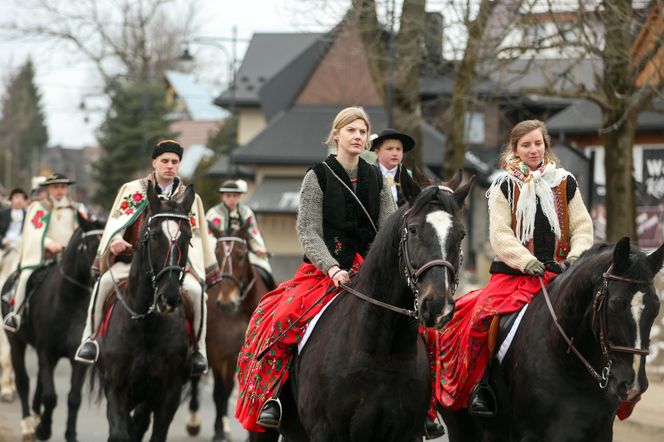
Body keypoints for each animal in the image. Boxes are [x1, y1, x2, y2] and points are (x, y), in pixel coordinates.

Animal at [0, 216, 104, 440]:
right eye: (88, 245)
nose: (101, 274)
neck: (70, 301)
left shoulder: (77, 358)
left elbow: (74, 398)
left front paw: (70, 434)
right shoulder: (46, 352)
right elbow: (50, 396)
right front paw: (44, 429)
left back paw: (36, 416)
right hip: (16, 342)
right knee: (23, 381)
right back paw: (28, 424)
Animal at [96, 181, 195, 440]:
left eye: (188, 236)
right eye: (154, 235)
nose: (168, 297)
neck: (146, 326)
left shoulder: (168, 396)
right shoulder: (116, 390)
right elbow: (119, 433)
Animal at [187, 223, 270, 440]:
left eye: (241, 255)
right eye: (215, 253)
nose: (226, 303)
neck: (240, 311)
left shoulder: (239, 355)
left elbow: (235, 388)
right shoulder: (218, 353)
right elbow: (219, 391)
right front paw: (219, 430)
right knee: (195, 380)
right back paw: (193, 421)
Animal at [252, 170, 474, 442]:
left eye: (460, 235)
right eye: (412, 230)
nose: (437, 304)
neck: (379, 353)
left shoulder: (408, 433)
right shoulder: (326, 432)